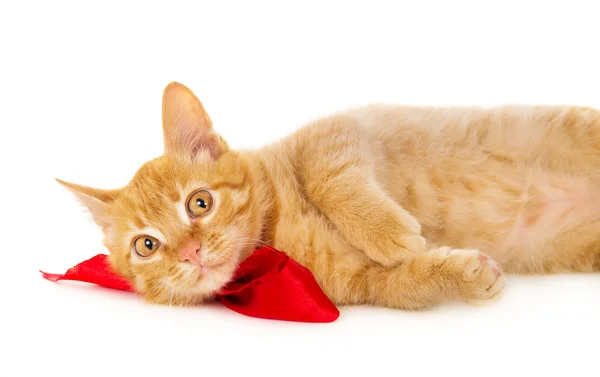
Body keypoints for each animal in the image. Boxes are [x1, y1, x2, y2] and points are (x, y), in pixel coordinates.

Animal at [57, 82, 600, 308]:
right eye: (146, 246)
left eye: (200, 202)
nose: (190, 253)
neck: (276, 232)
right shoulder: (355, 284)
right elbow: (402, 287)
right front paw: (461, 276)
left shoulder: (339, 134)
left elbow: (328, 177)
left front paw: (391, 234)